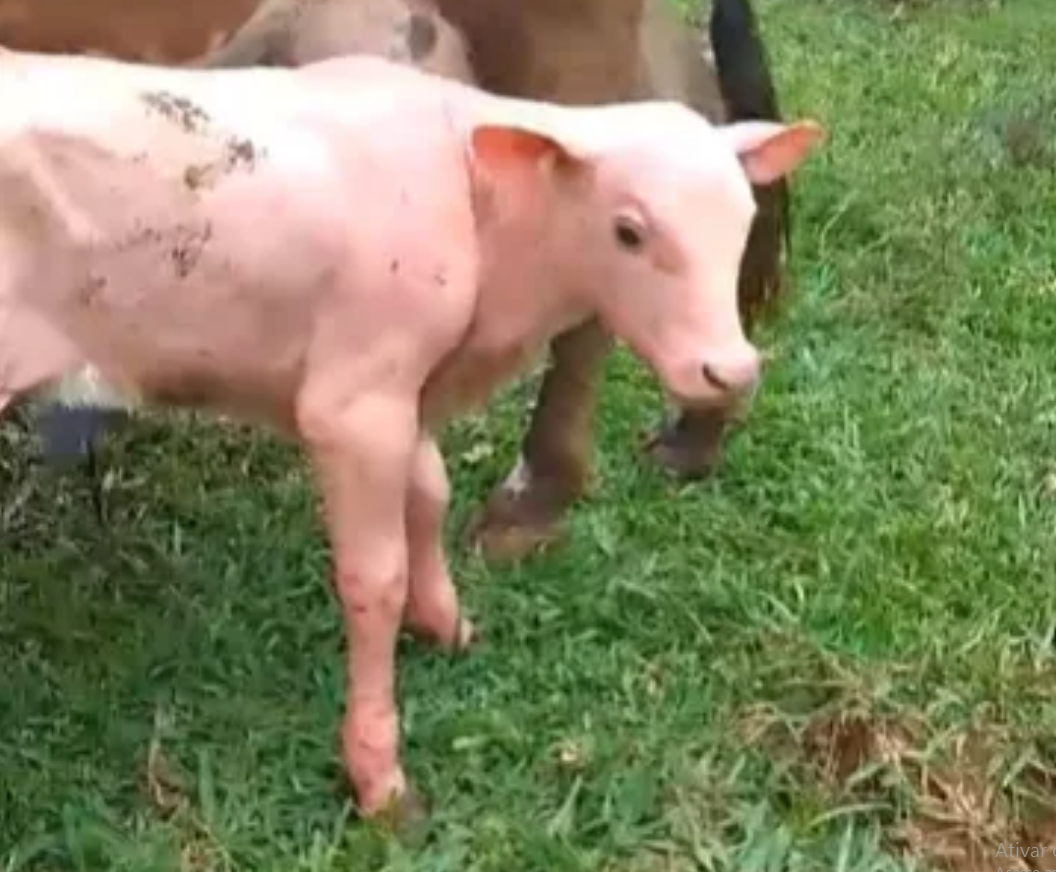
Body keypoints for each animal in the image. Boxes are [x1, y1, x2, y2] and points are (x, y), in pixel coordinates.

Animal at [0, 50, 823, 819]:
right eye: (628, 231)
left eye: (745, 222)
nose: (730, 370)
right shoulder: (353, 404)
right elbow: (375, 578)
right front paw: (379, 777)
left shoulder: (408, 387)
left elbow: (430, 493)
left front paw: (447, 623)